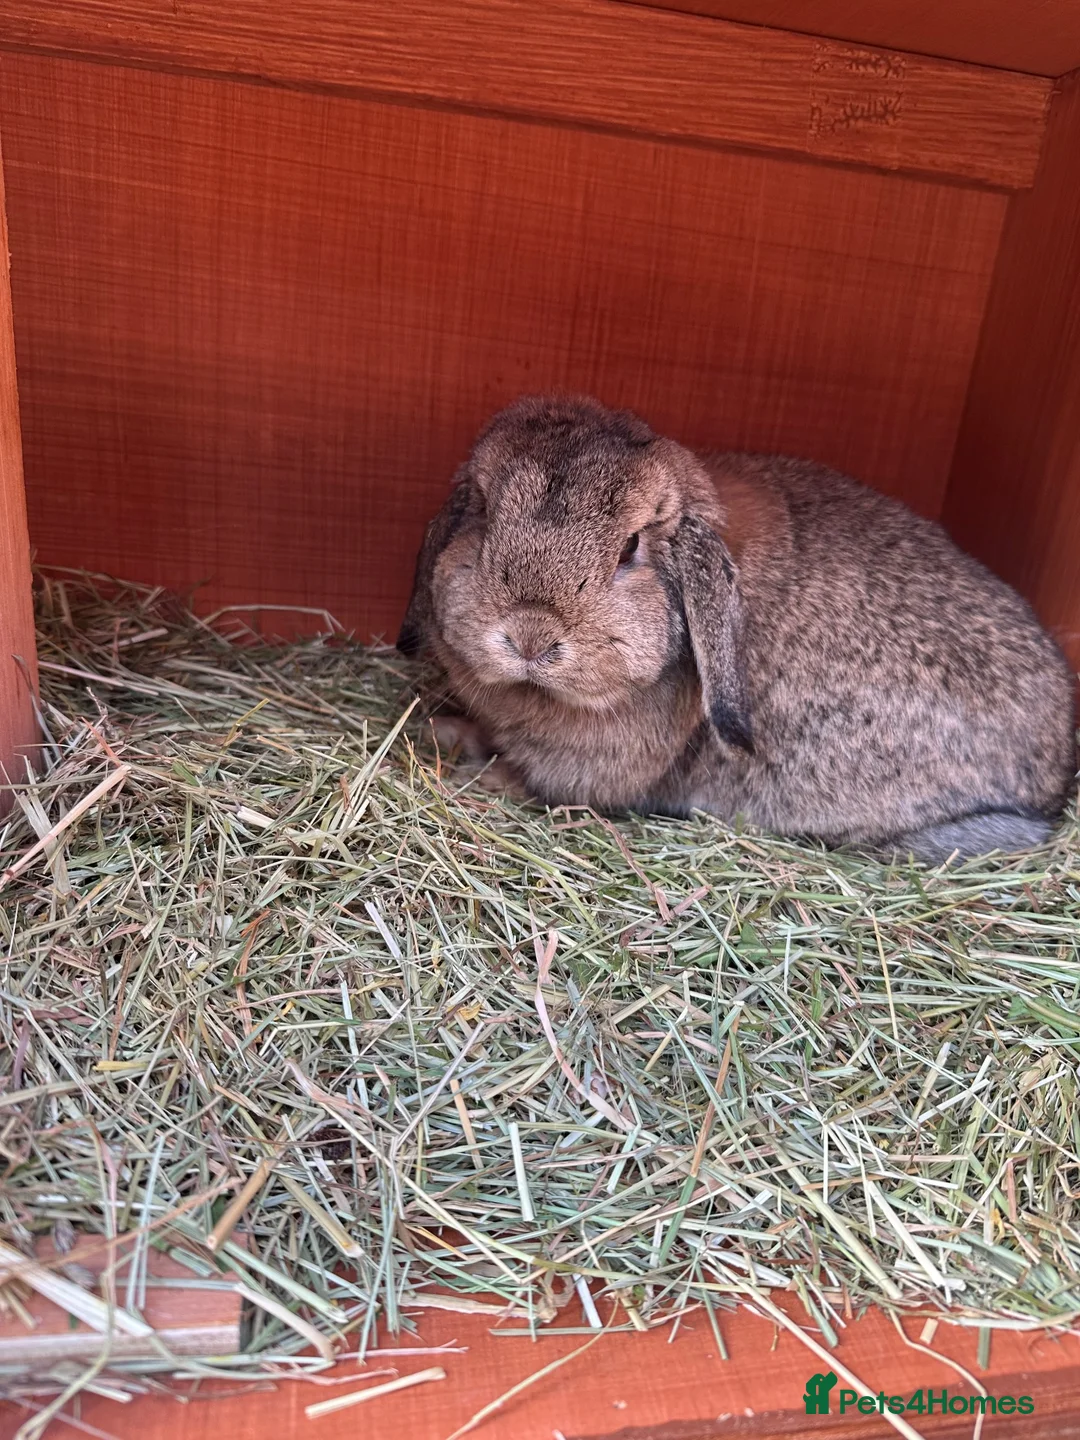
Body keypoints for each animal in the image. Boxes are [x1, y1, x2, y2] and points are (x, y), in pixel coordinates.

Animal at [397, 394, 1076, 864]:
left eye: (631, 549)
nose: (531, 636)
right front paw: (445, 732)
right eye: (483, 514)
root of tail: (1057, 774)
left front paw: (474, 773)